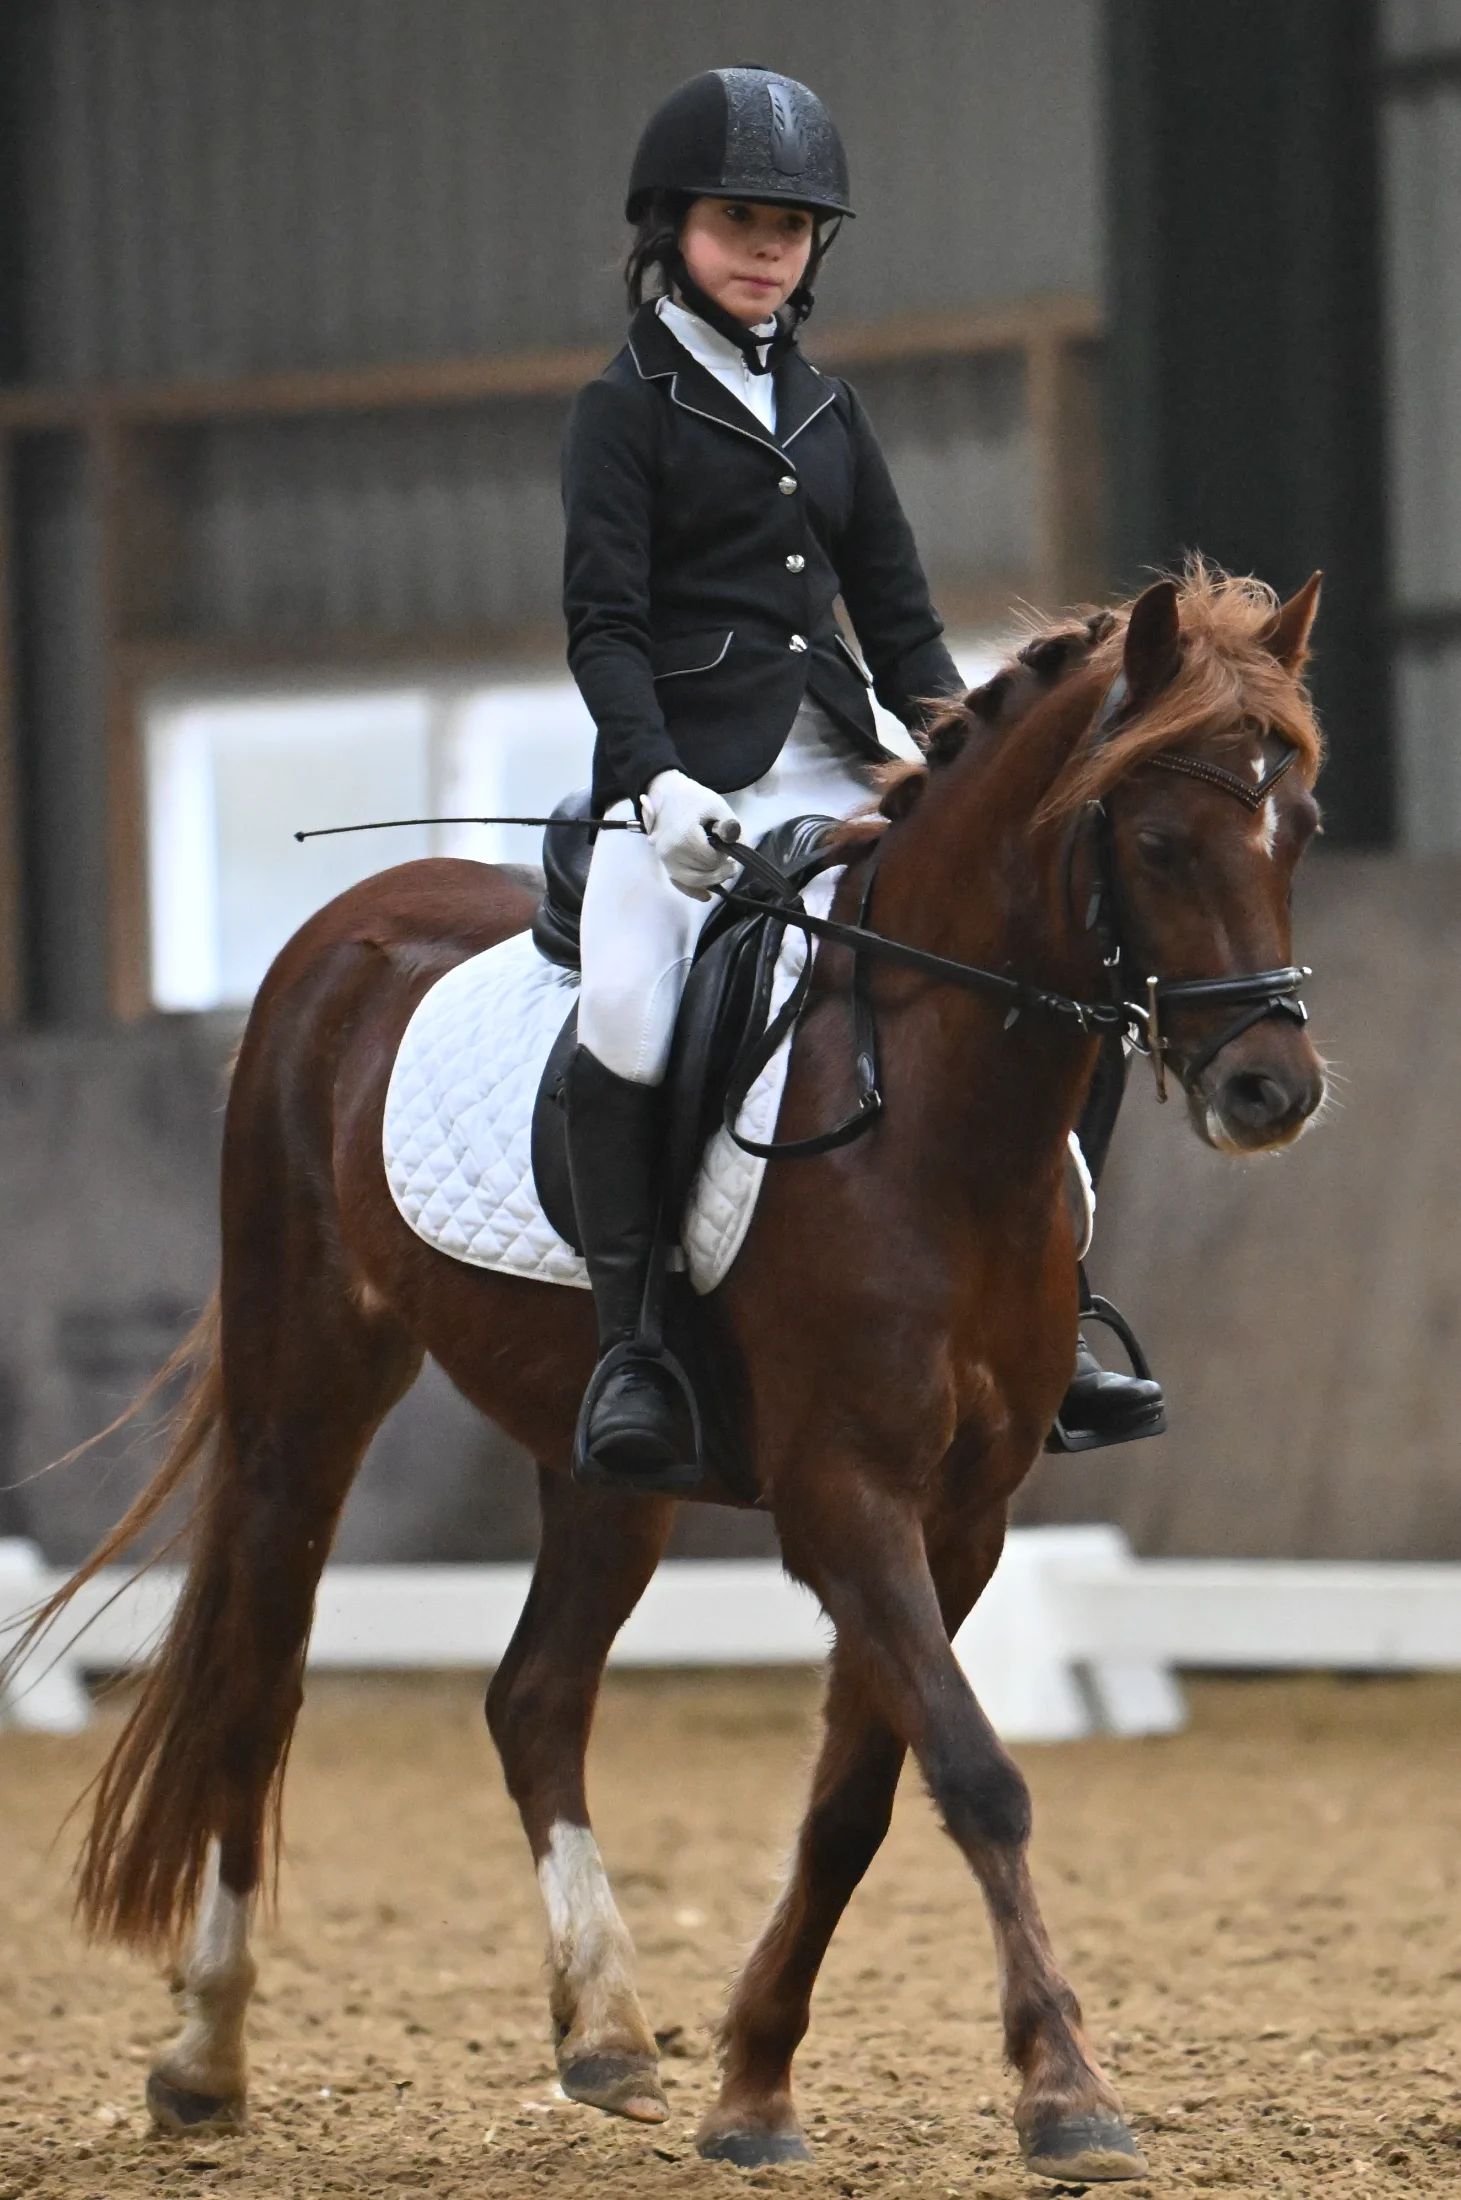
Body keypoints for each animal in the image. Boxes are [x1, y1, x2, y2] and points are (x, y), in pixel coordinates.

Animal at [6, 559, 1327, 2185]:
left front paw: (752, 2086)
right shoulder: (844, 1494)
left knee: (534, 1696)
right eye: (1152, 837)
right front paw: (1067, 2091)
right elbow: (973, 1771)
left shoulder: (960, 1515)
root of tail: (353, 923)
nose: (1271, 1090)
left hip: (601, 1466)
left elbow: (857, 1798)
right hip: (307, 1377)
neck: (941, 1123)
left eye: (1299, 824)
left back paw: (610, 2033)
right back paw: (205, 2052)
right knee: (260, 1680)